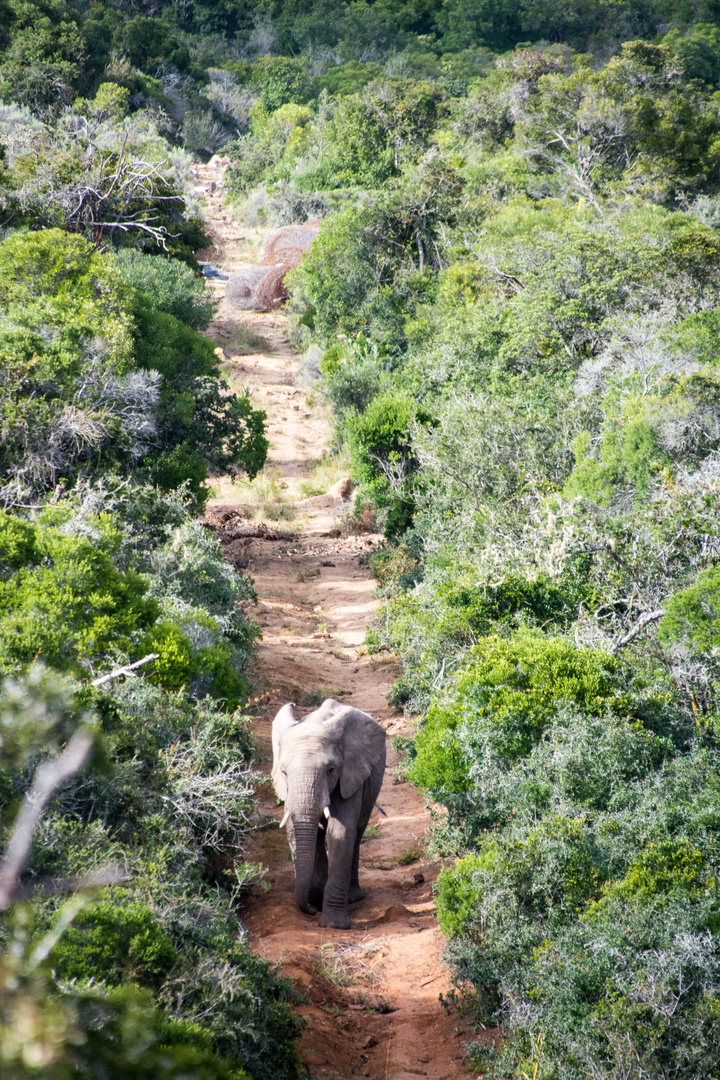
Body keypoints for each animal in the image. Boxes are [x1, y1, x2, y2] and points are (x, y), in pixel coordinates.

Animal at [269, 699, 386, 928]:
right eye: (284, 772)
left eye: (331, 770)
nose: (311, 910)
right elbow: (296, 830)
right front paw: (315, 899)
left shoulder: (350, 775)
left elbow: (340, 832)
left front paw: (333, 924)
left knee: (357, 831)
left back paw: (353, 897)